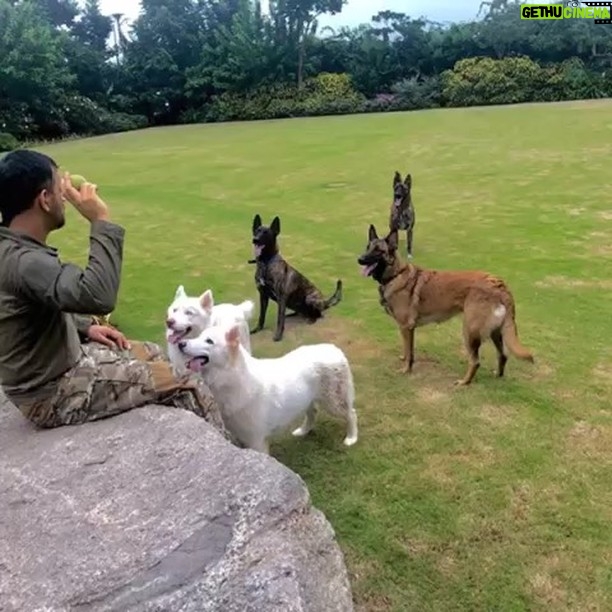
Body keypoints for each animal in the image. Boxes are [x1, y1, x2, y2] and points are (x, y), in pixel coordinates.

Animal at [177, 326, 358, 454]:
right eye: (199, 336)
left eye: (209, 341)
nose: (180, 343)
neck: (232, 378)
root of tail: (334, 348)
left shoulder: (256, 441)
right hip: (307, 399)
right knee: (313, 412)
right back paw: (303, 431)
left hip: (334, 403)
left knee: (351, 414)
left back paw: (351, 437)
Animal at [356, 225, 532, 388]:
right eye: (367, 247)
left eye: (378, 251)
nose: (359, 259)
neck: (395, 274)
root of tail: (498, 283)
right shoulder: (407, 329)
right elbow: (408, 350)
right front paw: (405, 360)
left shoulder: (406, 327)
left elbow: (409, 351)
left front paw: (406, 369)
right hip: (496, 332)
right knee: (503, 354)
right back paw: (498, 375)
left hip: (469, 331)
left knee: (475, 361)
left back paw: (464, 382)